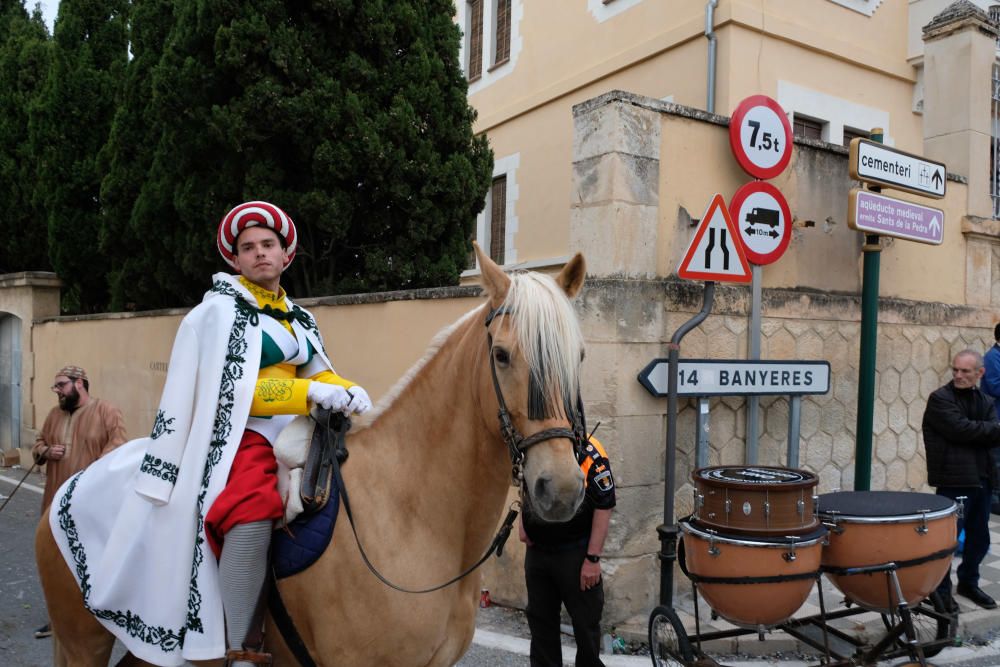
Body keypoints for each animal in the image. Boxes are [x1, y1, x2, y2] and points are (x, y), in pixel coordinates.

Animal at [37, 245, 584, 667]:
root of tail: (67, 487)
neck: (409, 514)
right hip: (82, 644)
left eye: (577, 355)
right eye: (502, 355)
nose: (560, 488)